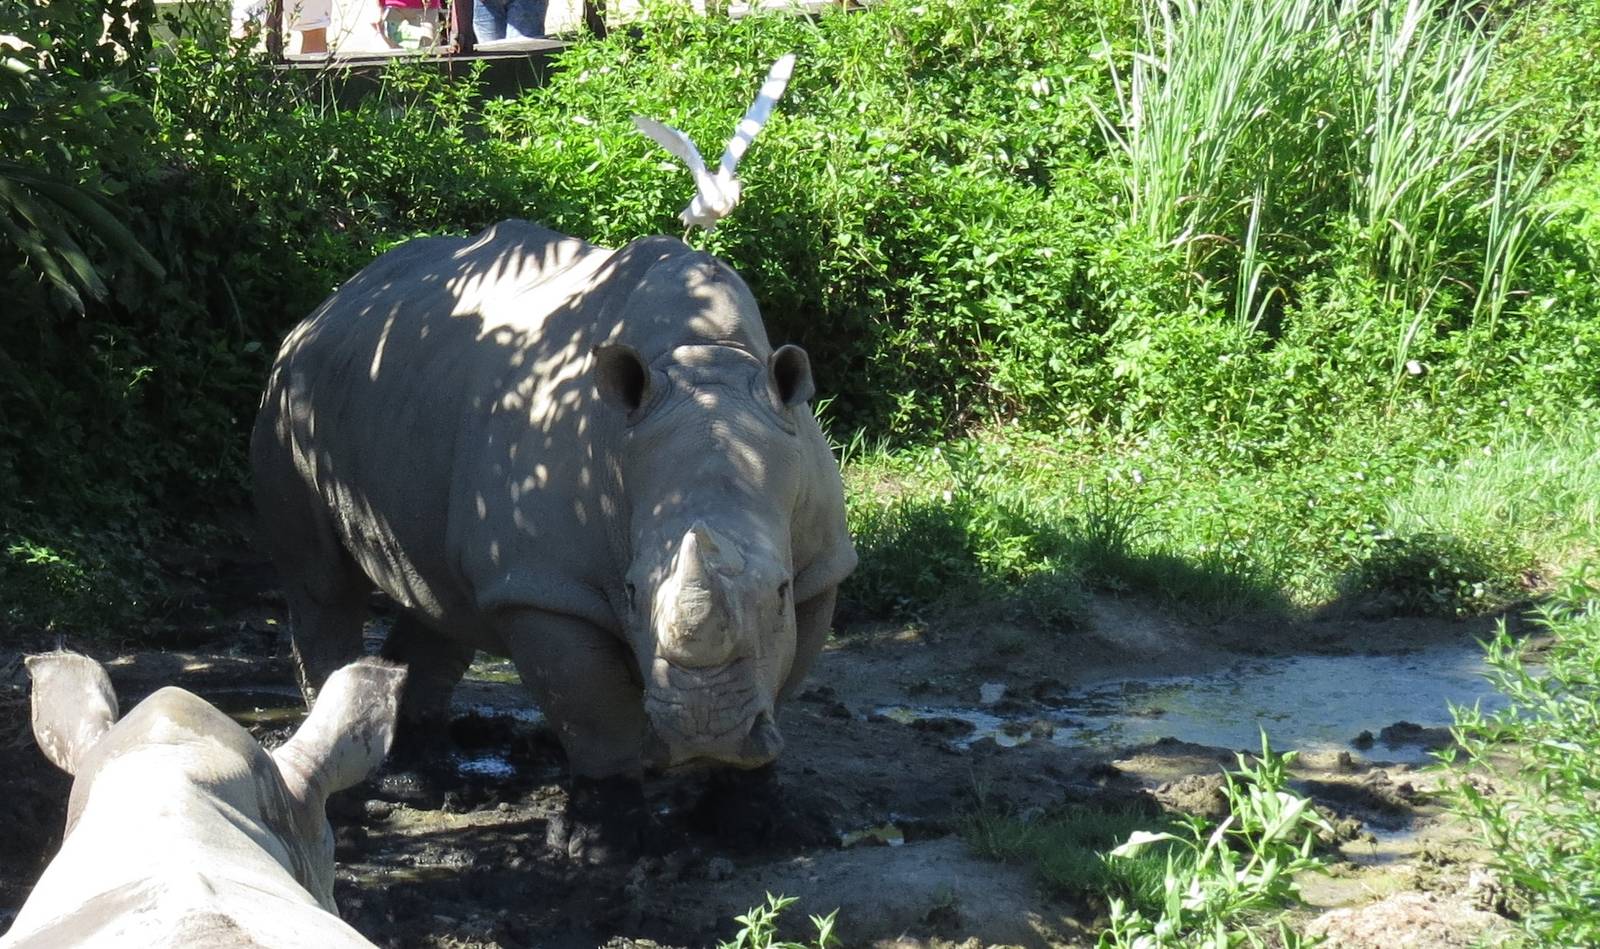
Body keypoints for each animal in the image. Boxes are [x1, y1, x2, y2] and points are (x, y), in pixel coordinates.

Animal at [250, 220, 857, 858]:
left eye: (781, 592)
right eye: (632, 592)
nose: (702, 733)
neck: (703, 365)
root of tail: (335, 300)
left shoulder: (820, 567)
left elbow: (782, 678)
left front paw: (760, 826)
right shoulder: (549, 587)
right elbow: (592, 710)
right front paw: (600, 849)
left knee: (441, 595)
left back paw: (425, 785)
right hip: (293, 399)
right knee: (322, 584)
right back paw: (355, 798)